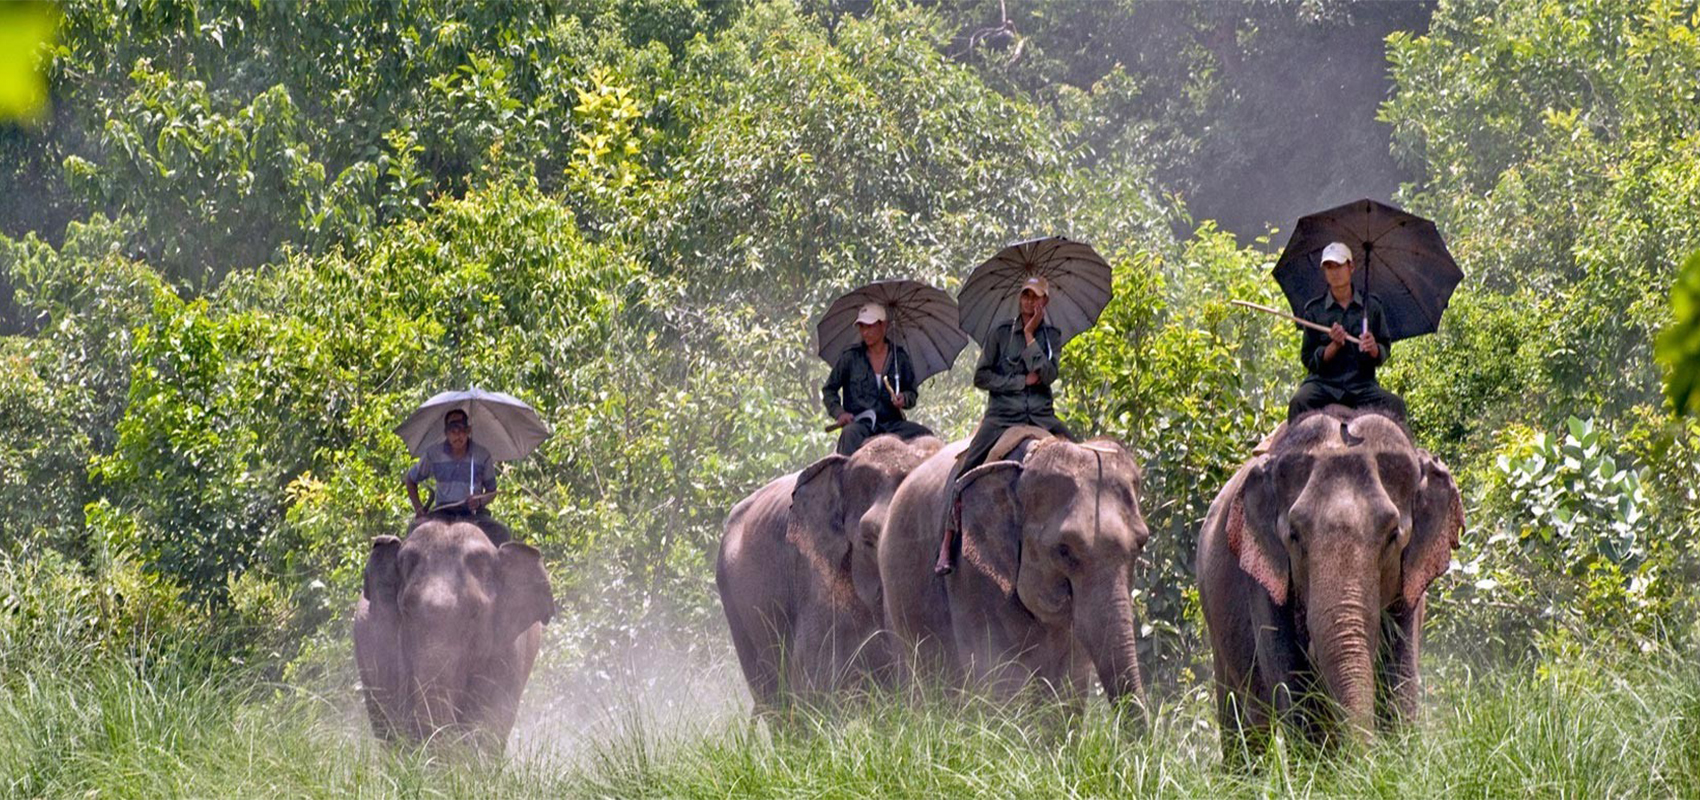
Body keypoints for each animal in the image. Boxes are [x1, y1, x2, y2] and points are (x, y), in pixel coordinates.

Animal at [1196, 407, 1462, 757]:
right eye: (1294, 536)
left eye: (1393, 536)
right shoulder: (1263, 584)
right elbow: (1294, 688)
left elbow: (1400, 679)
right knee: (1244, 723)